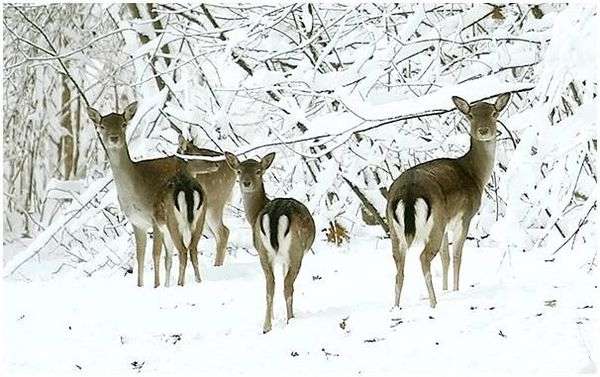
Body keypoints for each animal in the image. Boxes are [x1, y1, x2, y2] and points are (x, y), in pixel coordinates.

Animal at [86, 101, 218, 286]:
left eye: (124, 124)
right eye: (102, 126)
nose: (114, 138)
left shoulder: (154, 220)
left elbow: (155, 255)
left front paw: (156, 285)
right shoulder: (137, 222)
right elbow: (140, 256)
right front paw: (142, 285)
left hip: (177, 221)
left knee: (184, 250)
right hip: (198, 218)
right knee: (192, 249)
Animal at [224, 151, 316, 332]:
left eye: (258, 171)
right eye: (239, 171)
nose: (246, 183)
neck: (254, 215)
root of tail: (275, 213)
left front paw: (273, 318)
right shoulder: (285, 257)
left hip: (264, 252)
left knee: (270, 286)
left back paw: (266, 326)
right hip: (296, 251)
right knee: (287, 285)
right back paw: (290, 320)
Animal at [384, 92, 510, 306]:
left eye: (494, 113)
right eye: (470, 115)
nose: (483, 130)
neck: (475, 175)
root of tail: (407, 193)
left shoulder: (445, 224)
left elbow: (445, 257)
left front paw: (446, 290)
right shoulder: (464, 216)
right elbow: (457, 255)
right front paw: (456, 290)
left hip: (397, 229)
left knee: (399, 267)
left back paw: (396, 307)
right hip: (434, 224)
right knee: (423, 258)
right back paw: (433, 303)